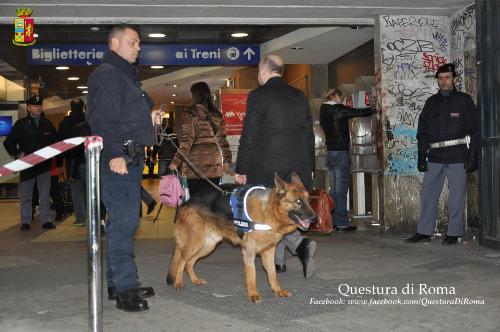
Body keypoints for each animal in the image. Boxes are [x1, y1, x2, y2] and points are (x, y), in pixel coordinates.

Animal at [168, 174, 316, 304]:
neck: (269, 210)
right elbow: (252, 274)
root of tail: (187, 201)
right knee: (182, 260)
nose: (315, 219)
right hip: (195, 243)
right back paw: (178, 282)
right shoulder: (249, 251)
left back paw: (195, 280)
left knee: (190, 262)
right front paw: (253, 294)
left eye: (308, 200)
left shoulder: (268, 252)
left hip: (207, 246)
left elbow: (272, 273)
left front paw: (277, 290)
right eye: (298, 202)